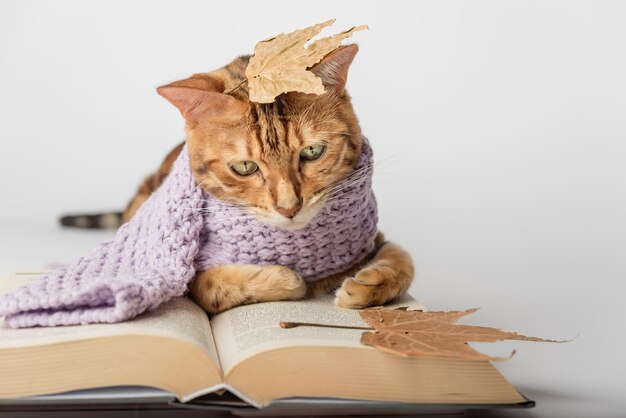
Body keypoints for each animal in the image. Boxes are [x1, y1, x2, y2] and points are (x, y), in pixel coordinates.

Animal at [59, 45, 414, 314]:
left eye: (312, 151)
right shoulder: (190, 277)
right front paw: (287, 279)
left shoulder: (376, 240)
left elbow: (404, 260)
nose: (289, 208)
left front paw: (367, 285)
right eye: (244, 167)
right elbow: (214, 286)